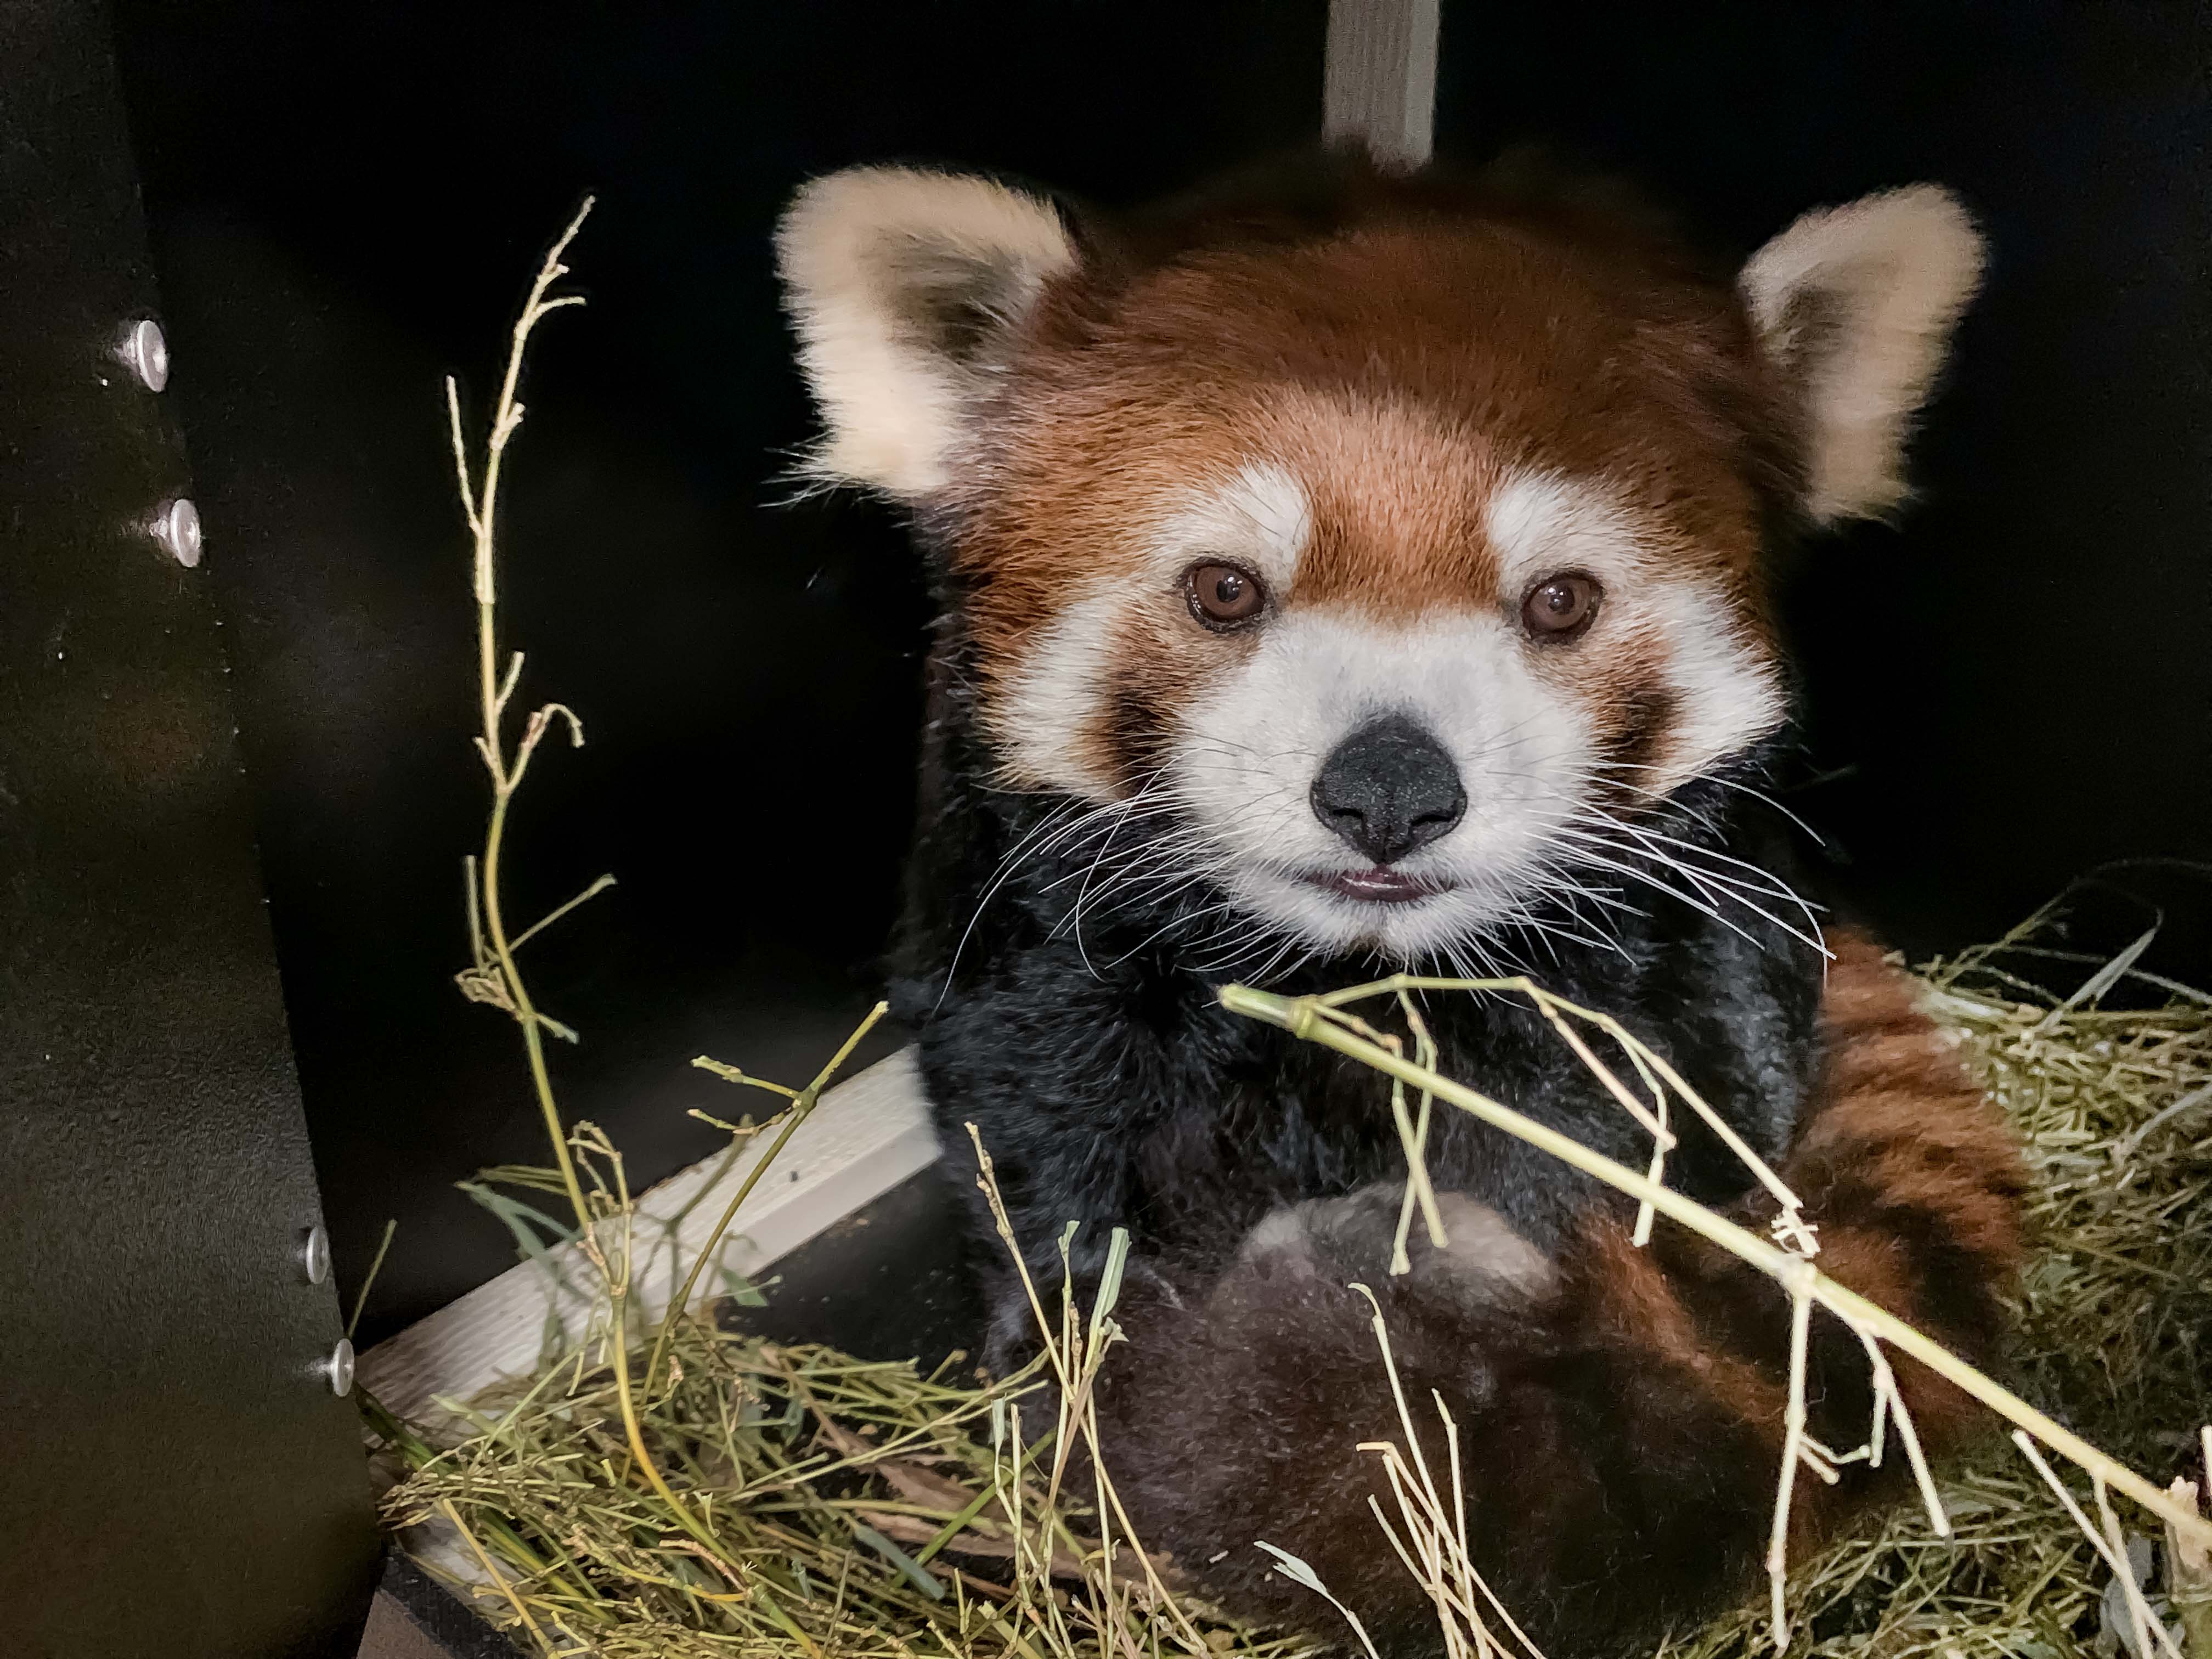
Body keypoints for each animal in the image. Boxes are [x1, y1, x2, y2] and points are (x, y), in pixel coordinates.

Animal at [773, 149, 2027, 1657]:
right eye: (1224, 590)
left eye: (1560, 602)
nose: (1388, 790)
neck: (1349, 975)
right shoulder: (1026, 958)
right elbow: (1042, 1151)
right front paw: (1063, 1374)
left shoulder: (1637, 997)